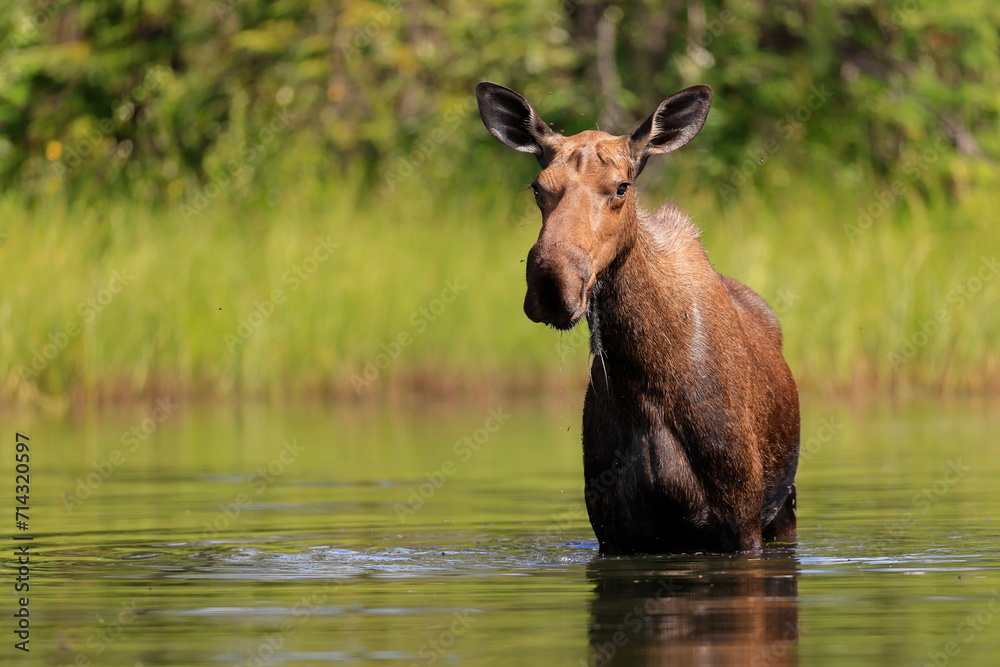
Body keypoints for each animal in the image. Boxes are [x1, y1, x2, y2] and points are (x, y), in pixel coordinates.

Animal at [475, 82, 800, 554]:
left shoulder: (742, 518)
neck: (647, 385)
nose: (553, 283)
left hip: (784, 501)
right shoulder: (614, 530)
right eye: (537, 188)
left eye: (621, 187)